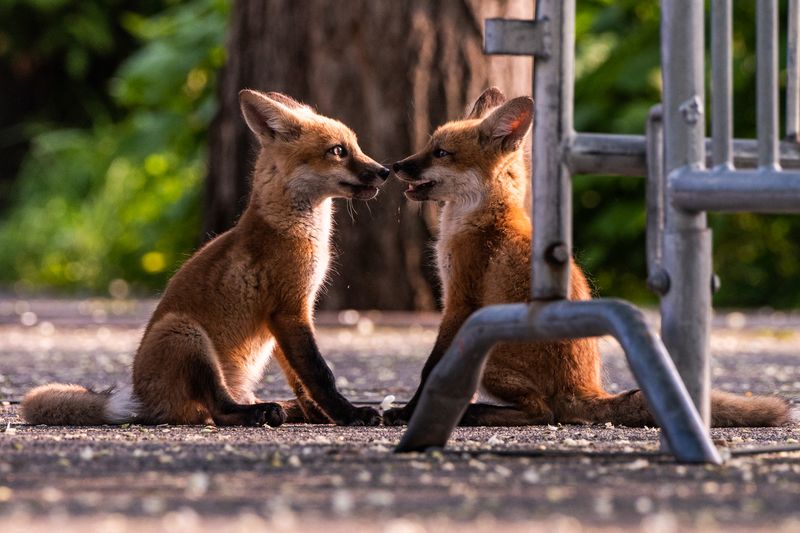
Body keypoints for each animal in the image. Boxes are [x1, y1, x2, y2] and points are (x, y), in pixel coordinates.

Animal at [21, 89, 388, 426]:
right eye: (338, 151)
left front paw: (327, 415)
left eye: (356, 147)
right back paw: (259, 413)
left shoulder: (292, 315)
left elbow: (302, 383)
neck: (295, 229)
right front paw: (349, 414)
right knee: (219, 410)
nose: (385, 171)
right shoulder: (290, 309)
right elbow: (319, 374)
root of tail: (142, 400)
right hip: (185, 334)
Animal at [384, 87, 792, 428]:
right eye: (428, 146)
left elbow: (430, 369)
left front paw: (409, 413)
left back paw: (477, 413)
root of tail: (585, 389)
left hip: (487, 357)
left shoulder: (461, 300)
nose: (396, 165)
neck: (481, 216)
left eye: (440, 153)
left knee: (543, 412)